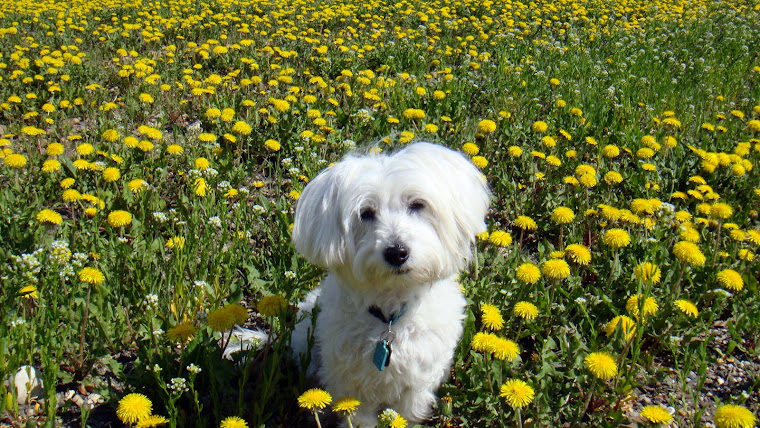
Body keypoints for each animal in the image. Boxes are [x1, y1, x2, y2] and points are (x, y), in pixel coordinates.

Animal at [288, 143, 490, 424]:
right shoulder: (350, 383)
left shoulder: (420, 378)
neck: (391, 317)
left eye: (418, 204)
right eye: (366, 213)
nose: (397, 252)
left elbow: (408, 411)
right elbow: (359, 418)